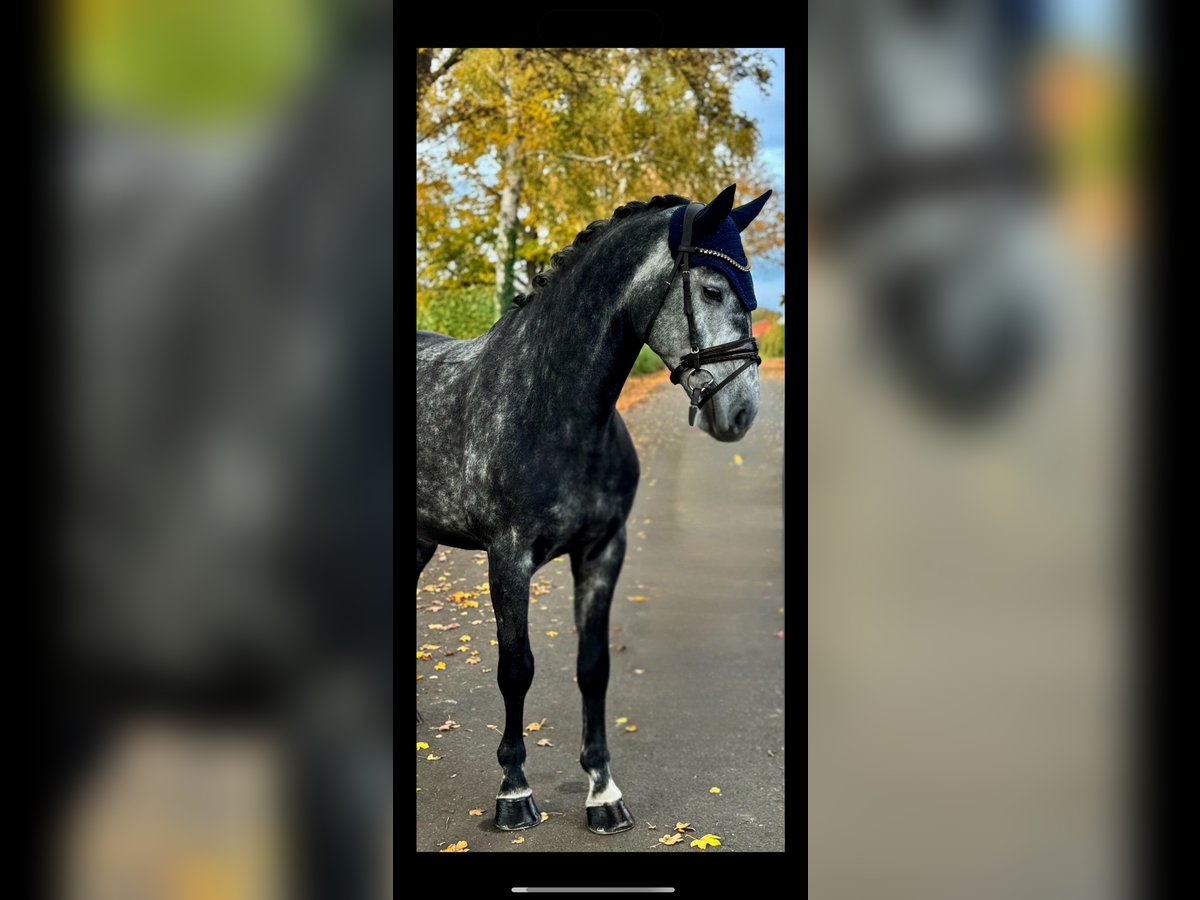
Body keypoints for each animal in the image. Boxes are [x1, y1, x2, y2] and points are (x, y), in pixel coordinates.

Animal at [416, 184, 772, 833]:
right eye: (713, 289)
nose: (740, 411)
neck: (549, 407)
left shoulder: (602, 551)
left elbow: (594, 667)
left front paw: (604, 794)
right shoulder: (508, 559)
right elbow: (517, 669)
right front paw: (514, 792)